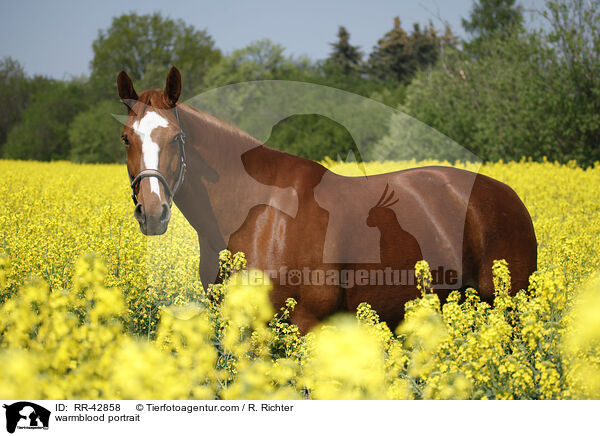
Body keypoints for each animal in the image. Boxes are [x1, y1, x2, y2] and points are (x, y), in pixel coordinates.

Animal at [115, 67, 536, 334]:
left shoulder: (304, 323)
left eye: (176, 137)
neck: (257, 214)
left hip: (509, 305)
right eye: (126, 138)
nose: (152, 212)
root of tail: (506, 195)